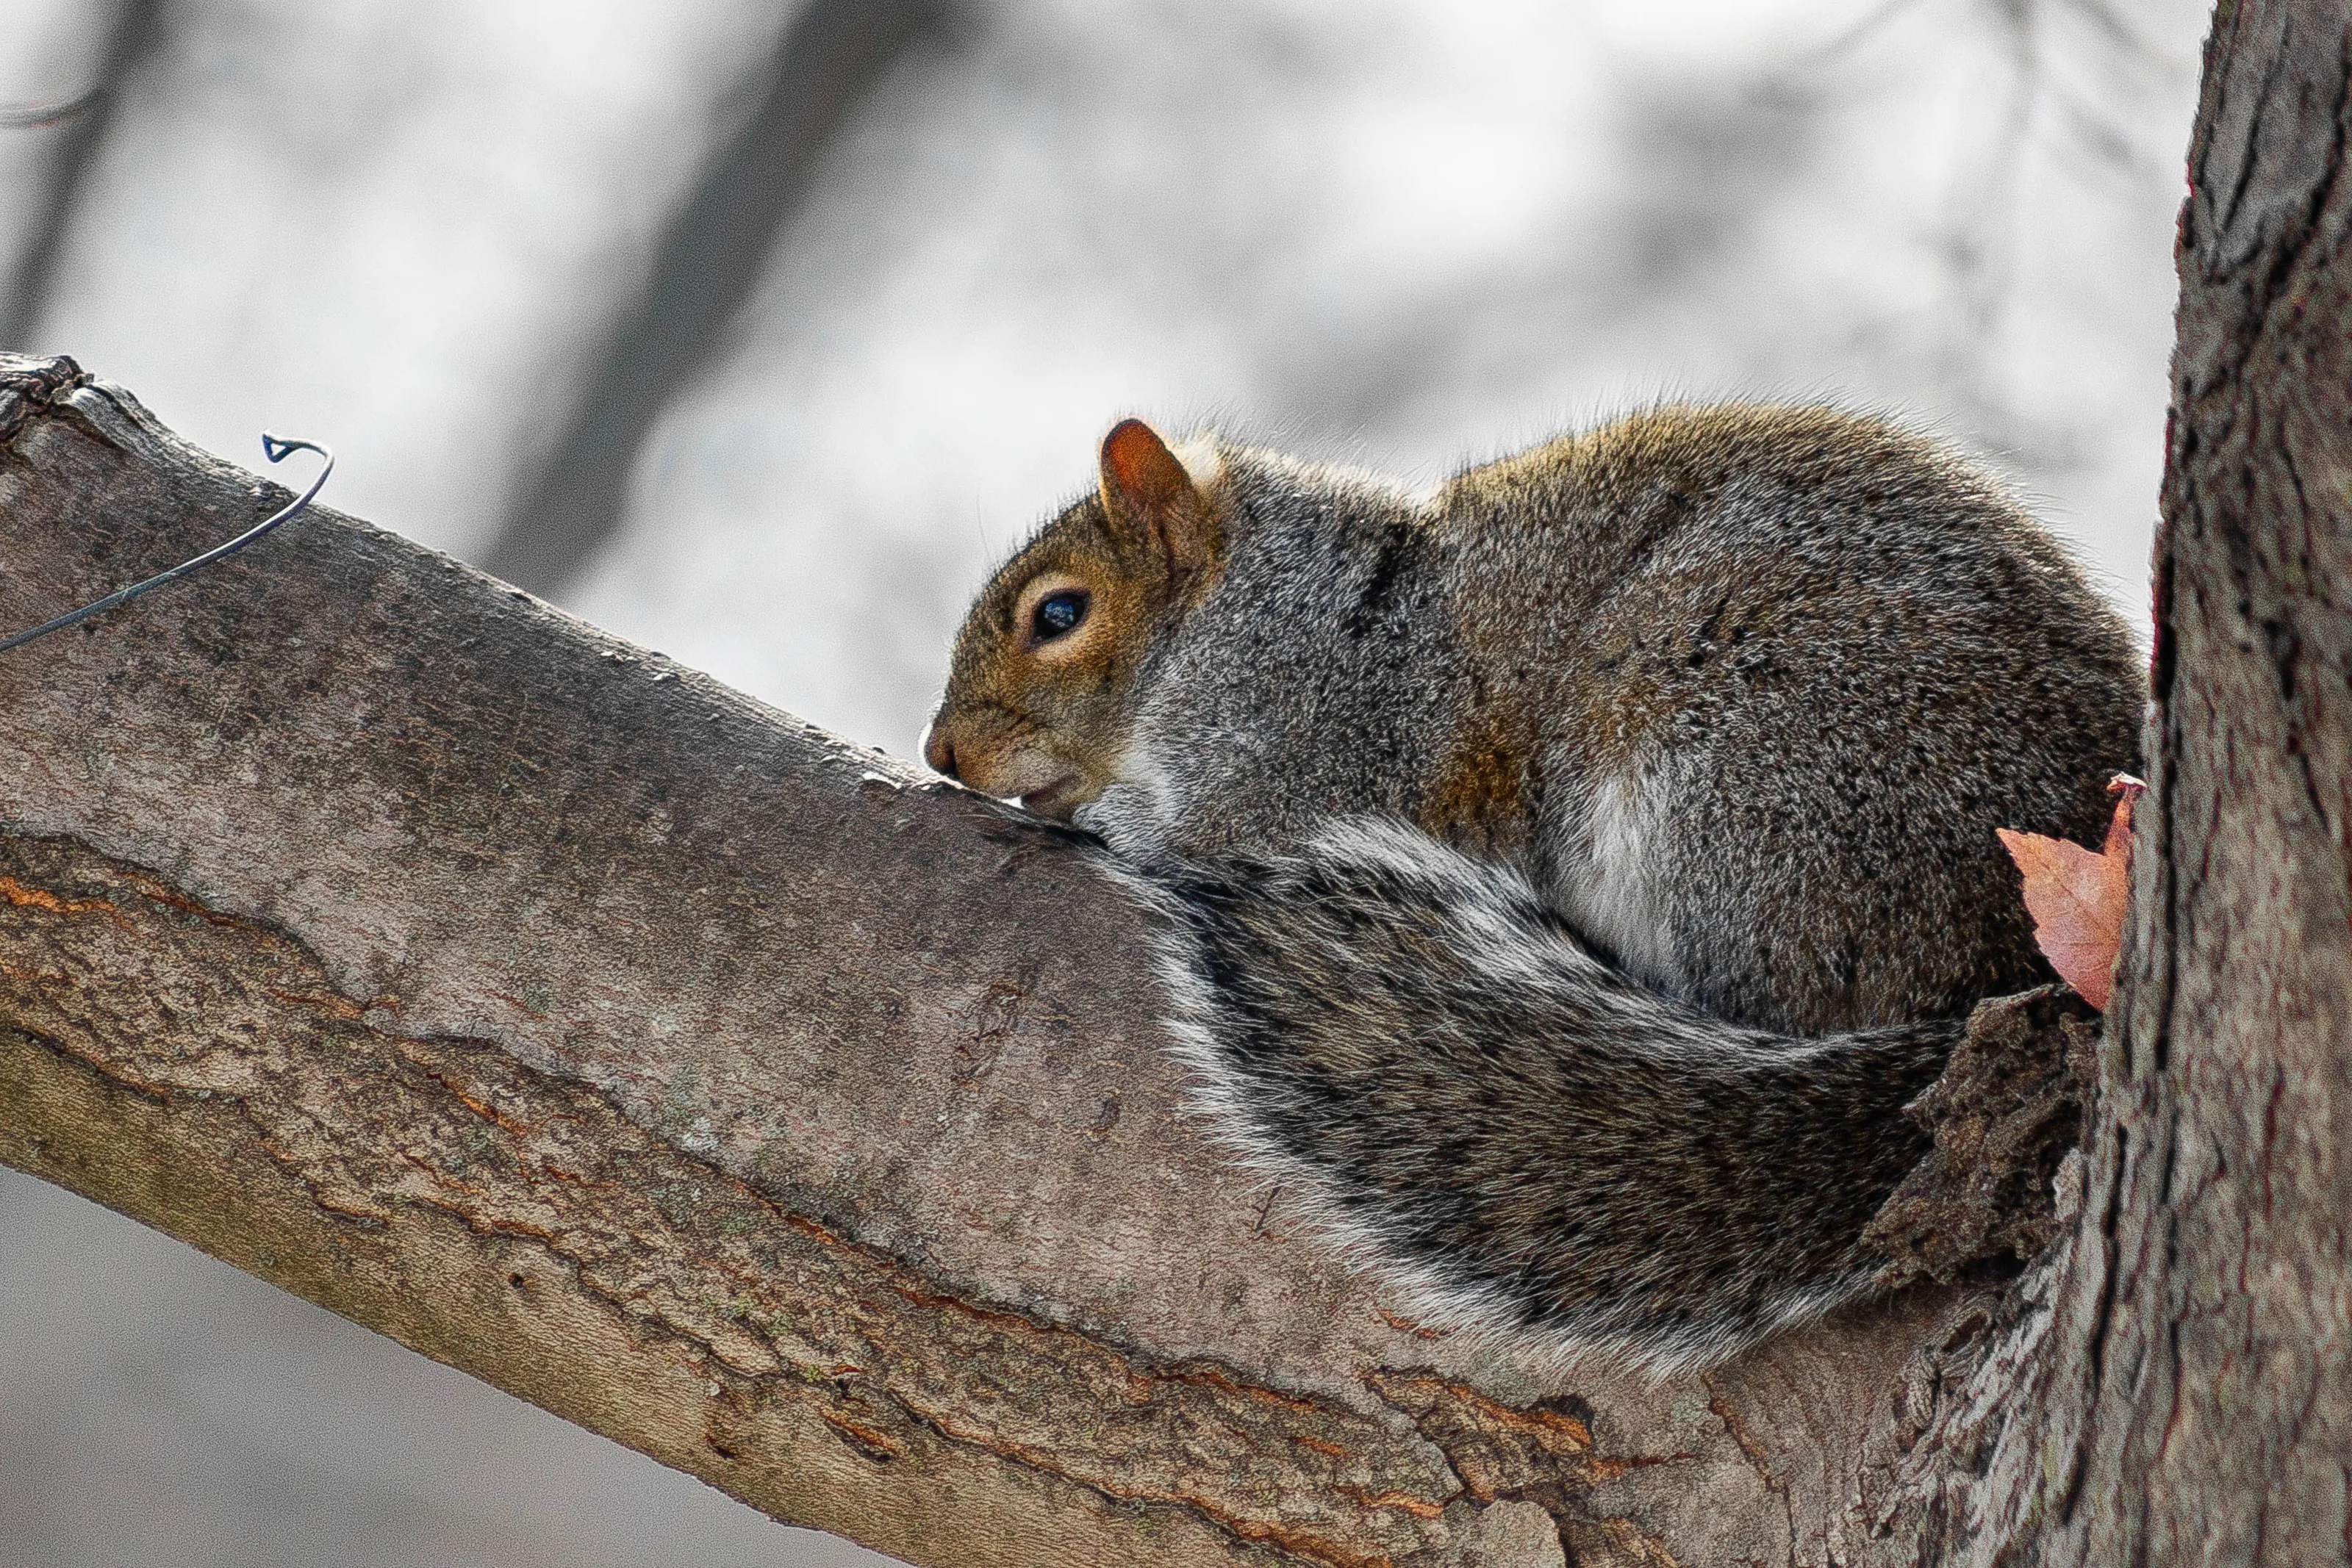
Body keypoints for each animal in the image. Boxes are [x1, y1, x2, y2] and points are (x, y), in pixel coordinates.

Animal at [924, 405, 2141, 1373]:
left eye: (1058, 614)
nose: (942, 753)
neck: (1256, 613)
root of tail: (1997, 978)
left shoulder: (1323, 749)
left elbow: (1214, 831)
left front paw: (1118, 820)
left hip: (1738, 792)